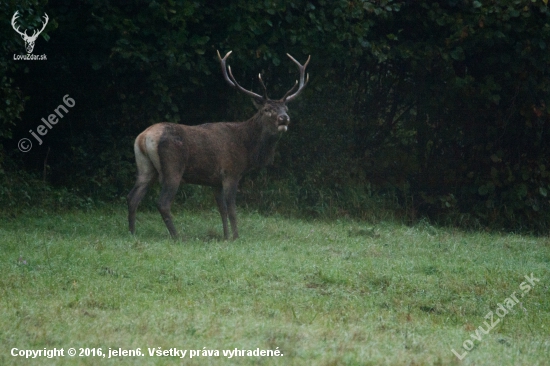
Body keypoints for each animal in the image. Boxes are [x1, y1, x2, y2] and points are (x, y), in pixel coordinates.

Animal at [127, 50, 312, 240]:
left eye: (286, 109)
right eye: (267, 109)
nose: (284, 118)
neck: (247, 150)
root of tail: (144, 137)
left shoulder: (215, 181)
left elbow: (221, 210)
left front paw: (225, 237)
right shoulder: (231, 172)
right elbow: (232, 209)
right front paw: (236, 237)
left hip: (145, 167)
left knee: (132, 197)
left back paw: (132, 233)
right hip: (172, 167)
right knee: (162, 202)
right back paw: (177, 237)